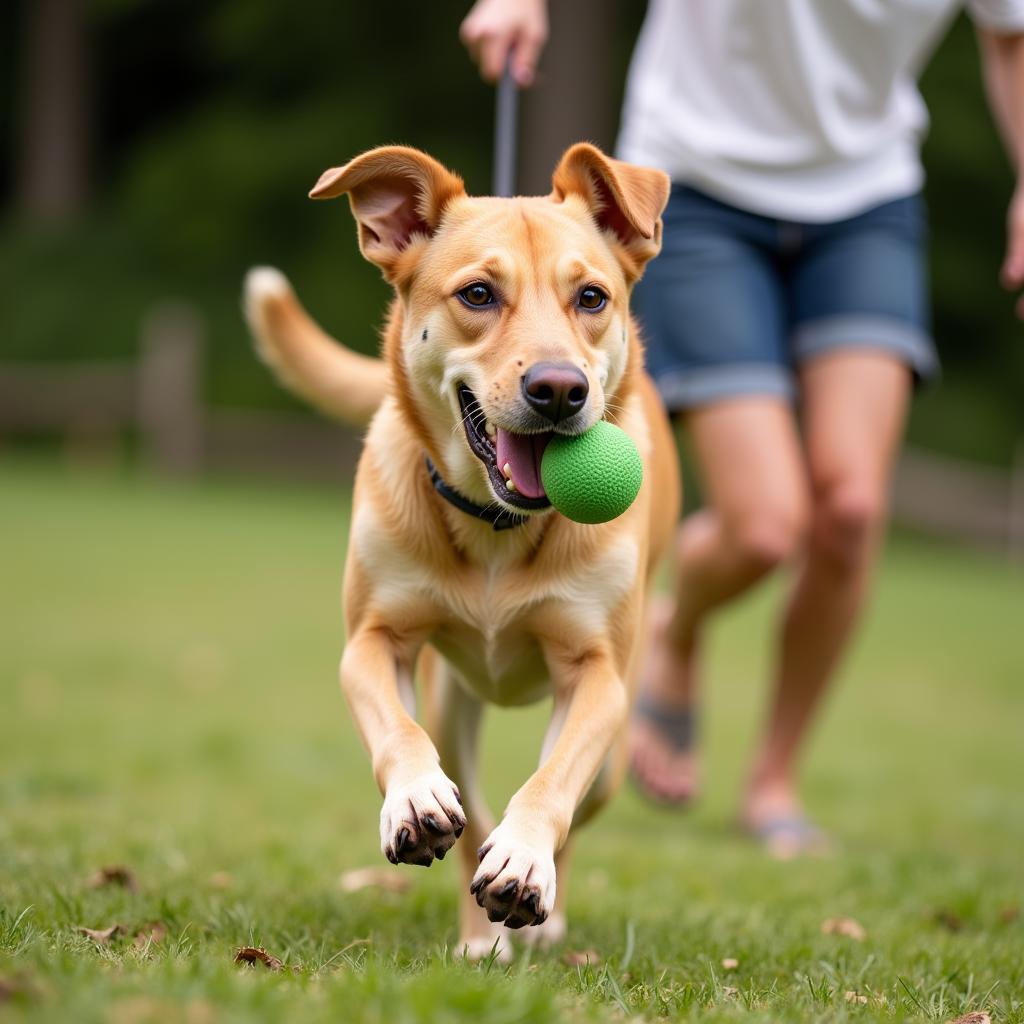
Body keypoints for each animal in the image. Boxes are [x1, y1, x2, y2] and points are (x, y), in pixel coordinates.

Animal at [241, 144, 679, 958]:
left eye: (592, 297)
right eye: (478, 293)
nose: (559, 389)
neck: (497, 528)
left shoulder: (598, 674)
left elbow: (551, 781)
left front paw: (526, 859)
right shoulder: (375, 638)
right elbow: (400, 732)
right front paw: (416, 800)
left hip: (620, 743)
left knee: (577, 800)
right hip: (455, 696)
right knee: (471, 803)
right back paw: (484, 936)